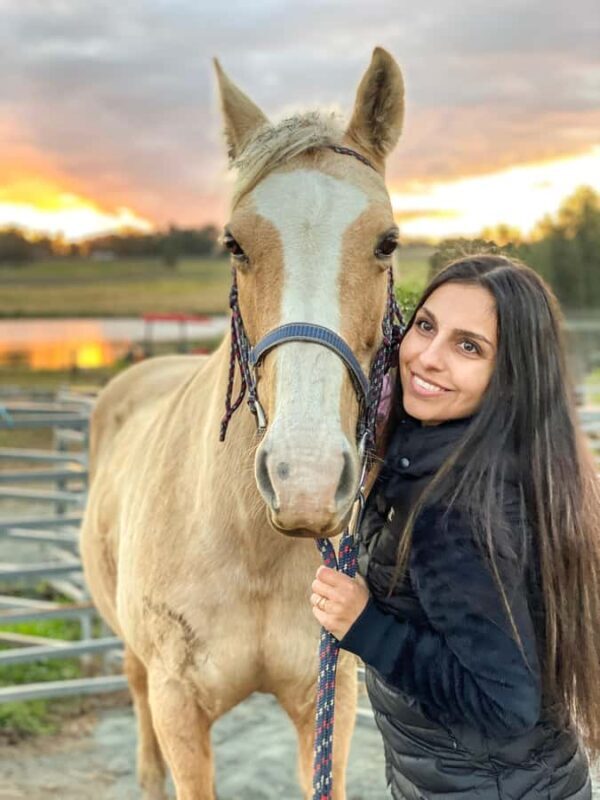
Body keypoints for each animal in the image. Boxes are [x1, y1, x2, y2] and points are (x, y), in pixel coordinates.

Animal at [80, 46, 405, 800]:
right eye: (233, 244)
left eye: (387, 242)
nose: (305, 479)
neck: (248, 544)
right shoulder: (179, 706)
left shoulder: (327, 698)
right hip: (135, 656)